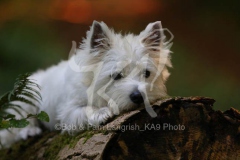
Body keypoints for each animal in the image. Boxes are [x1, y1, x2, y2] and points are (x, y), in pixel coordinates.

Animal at [0, 20, 172, 148]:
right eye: (116, 75)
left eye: (146, 73)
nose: (138, 96)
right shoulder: (67, 112)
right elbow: (84, 110)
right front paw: (101, 112)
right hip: (26, 100)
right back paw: (29, 131)